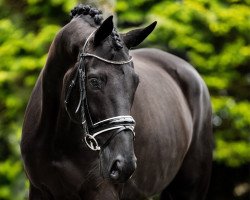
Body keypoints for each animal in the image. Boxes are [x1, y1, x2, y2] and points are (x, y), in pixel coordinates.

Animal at [21, 4, 213, 200]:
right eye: (94, 81)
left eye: (136, 82)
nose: (123, 165)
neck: (58, 139)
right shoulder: (38, 190)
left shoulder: (102, 191)